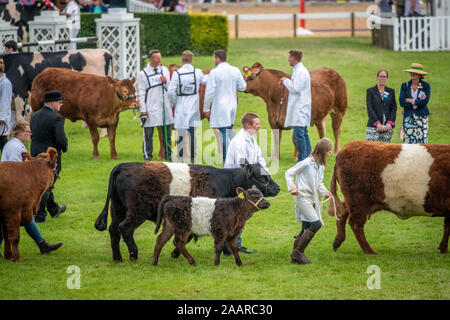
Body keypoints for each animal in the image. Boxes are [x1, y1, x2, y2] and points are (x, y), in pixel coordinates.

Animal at [93, 161, 280, 262]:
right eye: (263, 176)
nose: (277, 188)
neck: (226, 180)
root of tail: (122, 166)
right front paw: (176, 252)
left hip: (118, 208)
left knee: (113, 230)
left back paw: (118, 257)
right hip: (137, 211)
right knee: (125, 228)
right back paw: (133, 253)